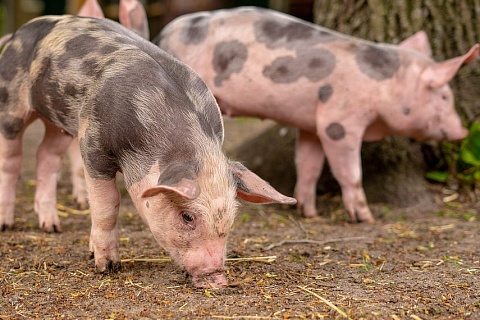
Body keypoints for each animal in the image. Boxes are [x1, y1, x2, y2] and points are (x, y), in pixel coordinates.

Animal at [0, 13, 296, 286]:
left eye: (231, 217)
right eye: (187, 216)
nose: (218, 278)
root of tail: (19, 32)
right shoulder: (92, 144)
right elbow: (107, 205)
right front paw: (107, 266)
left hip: (58, 119)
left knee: (46, 155)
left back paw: (51, 227)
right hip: (11, 105)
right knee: (11, 160)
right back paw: (7, 223)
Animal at [155, 6, 480, 222]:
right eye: (444, 96)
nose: (463, 130)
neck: (383, 84)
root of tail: (165, 34)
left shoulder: (310, 124)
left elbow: (309, 164)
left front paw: (308, 212)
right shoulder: (338, 122)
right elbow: (350, 172)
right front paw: (366, 218)